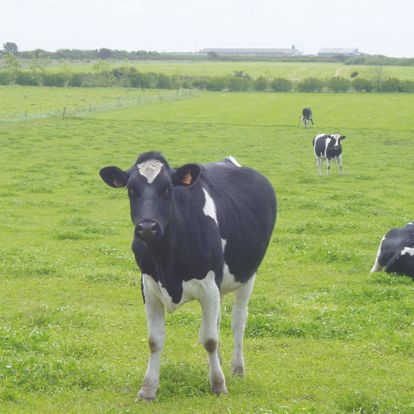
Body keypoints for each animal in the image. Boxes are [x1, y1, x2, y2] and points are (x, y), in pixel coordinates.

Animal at [98, 152, 276, 402]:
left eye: (167, 189)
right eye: (131, 189)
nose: (147, 227)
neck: (167, 263)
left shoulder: (209, 286)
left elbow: (209, 340)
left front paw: (218, 385)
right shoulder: (149, 287)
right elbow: (155, 341)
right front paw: (147, 389)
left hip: (247, 275)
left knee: (238, 322)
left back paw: (237, 369)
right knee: (218, 322)